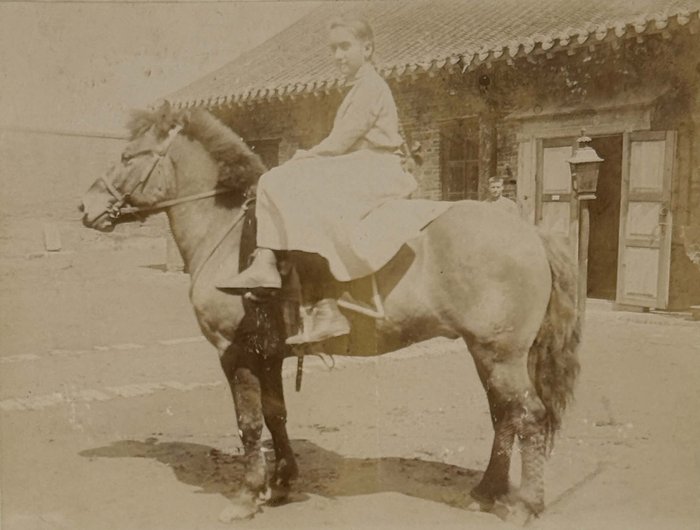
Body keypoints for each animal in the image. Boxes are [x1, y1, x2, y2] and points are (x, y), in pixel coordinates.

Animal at [80, 102, 581, 525]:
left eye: (128, 155)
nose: (85, 206)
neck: (228, 234)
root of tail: (529, 231)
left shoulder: (235, 354)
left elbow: (249, 423)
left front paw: (247, 495)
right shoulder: (269, 355)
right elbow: (276, 416)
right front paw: (281, 483)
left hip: (500, 355)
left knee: (529, 417)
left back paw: (525, 505)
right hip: (487, 354)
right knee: (504, 416)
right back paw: (486, 491)